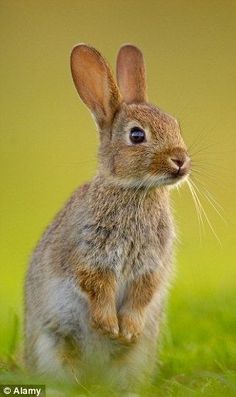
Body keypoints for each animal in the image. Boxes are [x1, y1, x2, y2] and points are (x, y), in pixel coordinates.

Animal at [23, 43, 190, 390]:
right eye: (137, 136)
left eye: (175, 125)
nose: (181, 160)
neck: (135, 190)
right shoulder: (89, 255)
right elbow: (96, 287)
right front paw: (109, 326)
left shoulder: (151, 266)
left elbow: (143, 293)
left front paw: (126, 330)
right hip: (52, 344)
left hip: (137, 357)